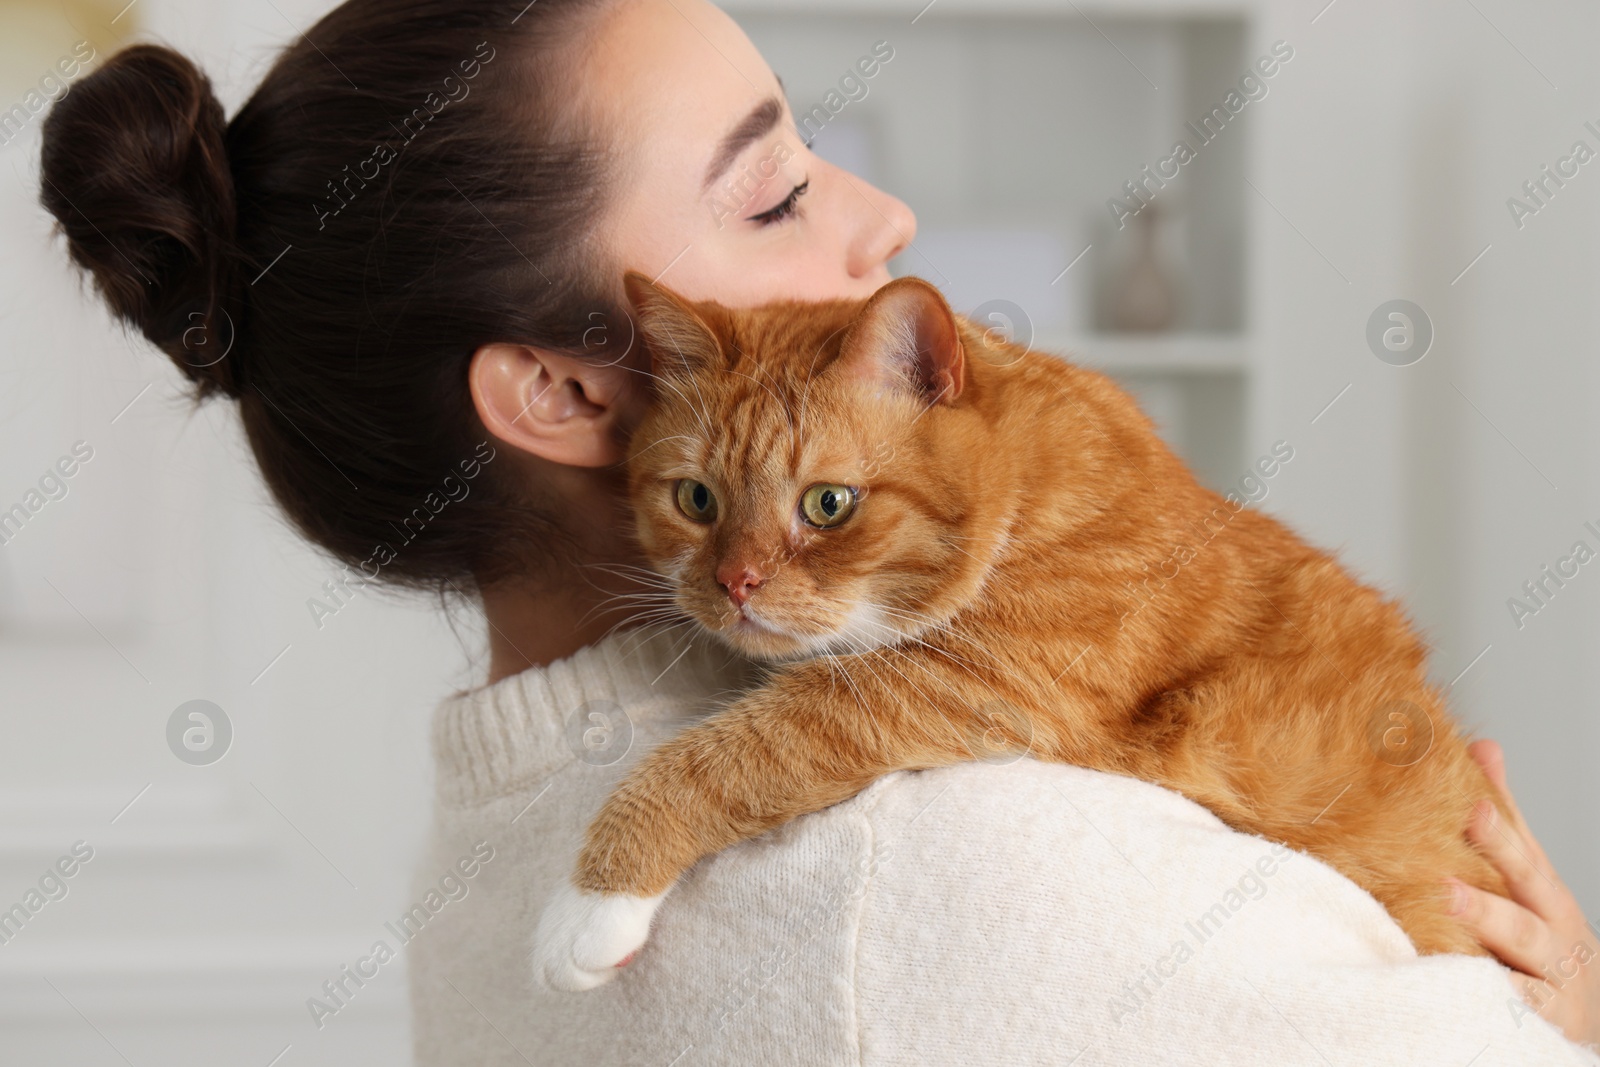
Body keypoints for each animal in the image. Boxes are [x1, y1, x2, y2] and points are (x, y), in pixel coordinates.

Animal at [531, 271, 1504, 991]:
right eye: (697, 499)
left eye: (828, 504)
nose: (734, 583)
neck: (1031, 492)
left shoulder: (964, 684)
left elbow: (727, 750)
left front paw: (593, 895)